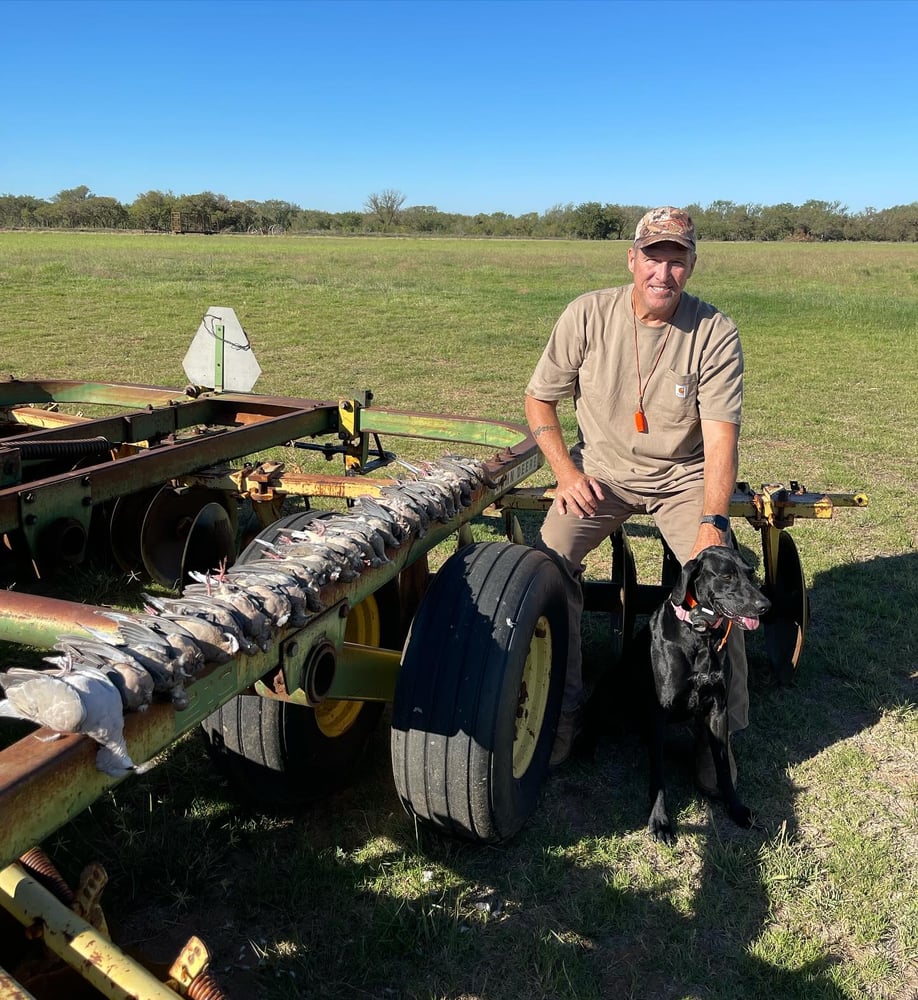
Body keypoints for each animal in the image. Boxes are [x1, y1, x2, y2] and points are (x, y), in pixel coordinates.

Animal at [652, 548, 772, 844]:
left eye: (750, 573)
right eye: (727, 576)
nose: (765, 605)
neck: (700, 635)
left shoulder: (718, 708)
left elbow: (723, 768)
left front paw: (736, 808)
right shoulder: (659, 713)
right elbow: (657, 772)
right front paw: (659, 820)